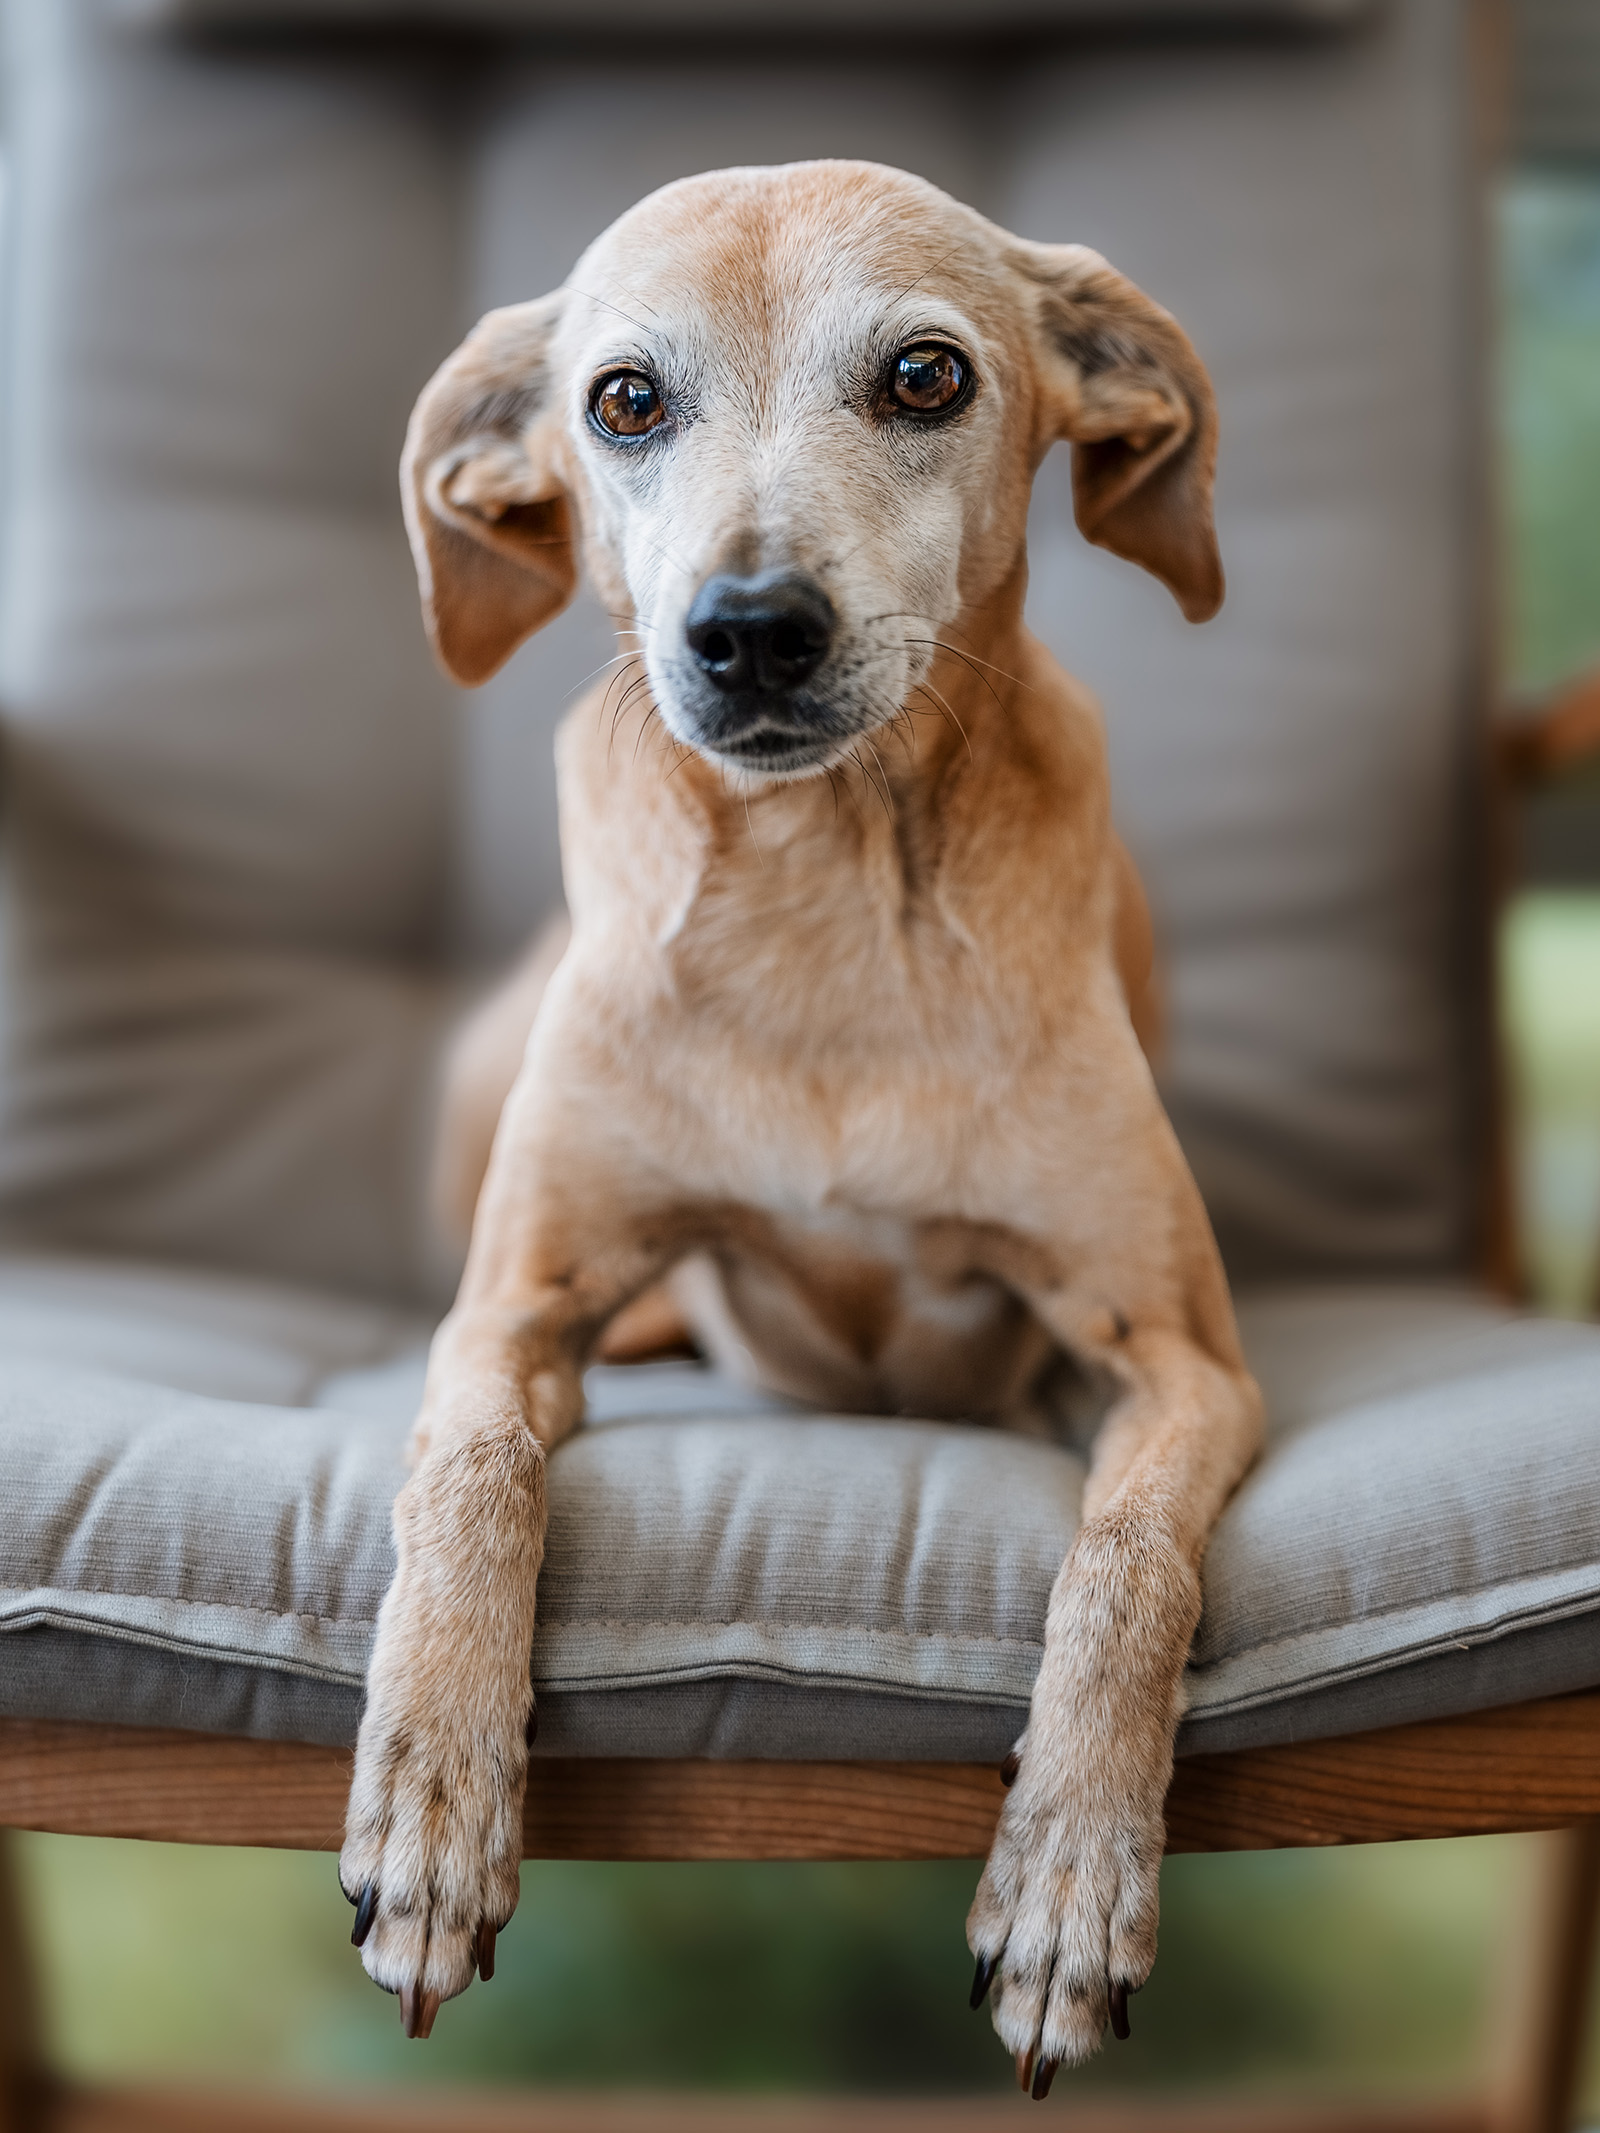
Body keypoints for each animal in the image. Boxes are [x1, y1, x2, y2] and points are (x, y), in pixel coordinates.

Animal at [339, 157, 1262, 2090]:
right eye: (624, 399)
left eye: (926, 375)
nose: (750, 627)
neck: (820, 899)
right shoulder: (510, 1307)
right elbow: (467, 1479)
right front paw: (433, 1804)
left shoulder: (1184, 1364)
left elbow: (1126, 1563)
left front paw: (1073, 1876)